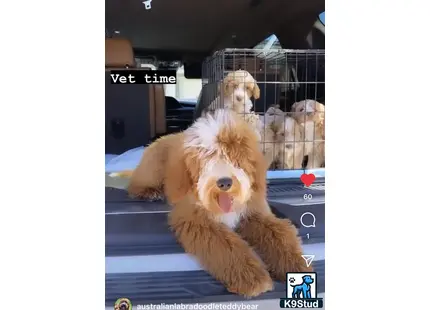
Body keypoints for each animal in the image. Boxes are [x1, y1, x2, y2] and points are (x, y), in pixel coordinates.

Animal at [117, 110, 312, 296]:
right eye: (207, 158)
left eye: (235, 157)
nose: (224, 182)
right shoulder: (197, 220)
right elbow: (225, 245)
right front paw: (253, 279)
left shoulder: (255, 213)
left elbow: (279, 233)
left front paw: (296, 265)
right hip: (152, 167)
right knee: (135, 184)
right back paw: (149, 192)